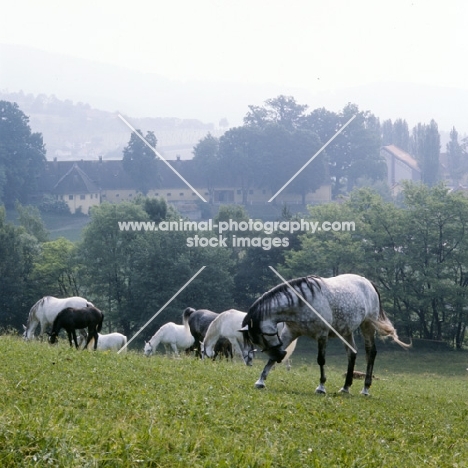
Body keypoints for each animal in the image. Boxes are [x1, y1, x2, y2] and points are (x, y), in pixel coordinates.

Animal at [241, 274, 410, 394]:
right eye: (256, 341)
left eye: (261, 337)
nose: (280, 356)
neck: (303, 302)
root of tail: (368, 283)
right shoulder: (290, 332)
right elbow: (270, 360)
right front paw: (260, 381)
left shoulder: (321, 335)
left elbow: (321, 360)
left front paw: (321, 387)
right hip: (346, 330)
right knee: (352, 353)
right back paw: (346, 387)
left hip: (367, 326)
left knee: (371, 352)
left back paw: (365, 389)